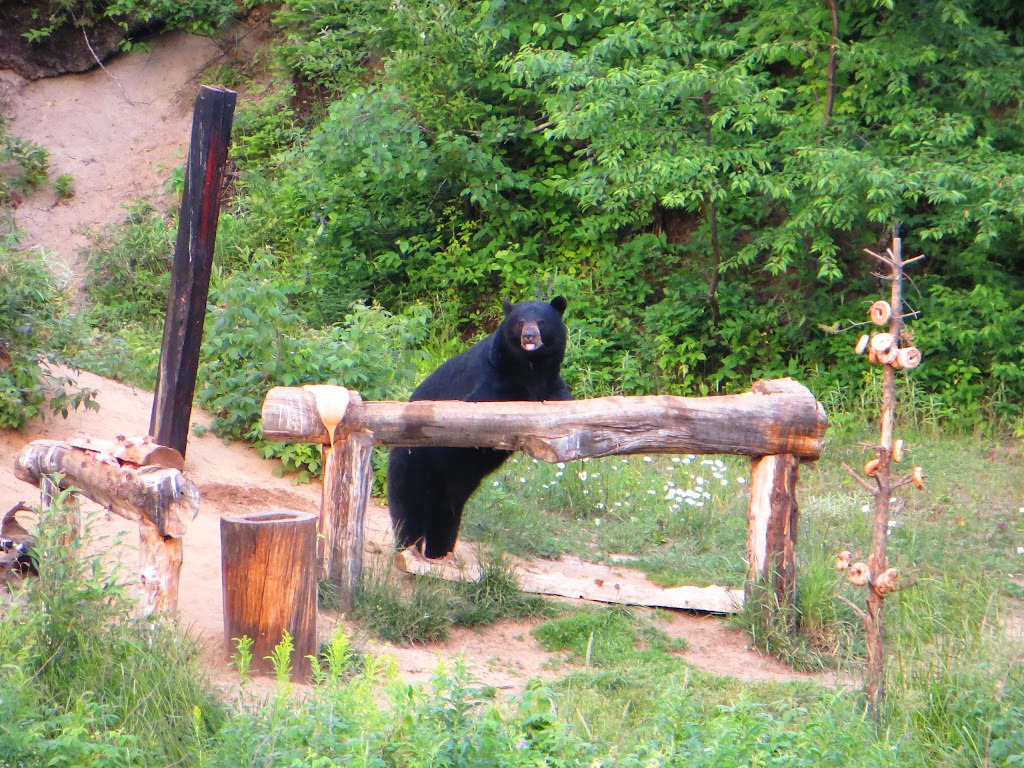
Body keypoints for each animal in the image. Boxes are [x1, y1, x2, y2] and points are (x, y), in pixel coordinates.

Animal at [387, 296, 573, 561]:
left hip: (453, 487)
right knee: (409, 510)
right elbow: (483, 407)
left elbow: (564, 400)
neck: (530, 367)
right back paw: (407, 549)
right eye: (520, 322)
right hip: (415, 463)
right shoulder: (492, 378)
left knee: (445, 517)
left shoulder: (551, 382)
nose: (529, 336)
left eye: (541, 321)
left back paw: (439, 553)